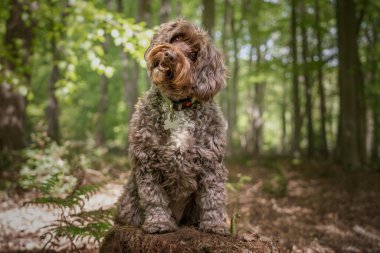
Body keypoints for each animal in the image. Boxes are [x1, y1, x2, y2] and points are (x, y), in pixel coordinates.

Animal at [115, 18, 229, 234]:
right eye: (176, 38)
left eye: (194, 54)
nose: (169, 55)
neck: (177, 107)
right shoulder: (147, 162)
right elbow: (154, 198)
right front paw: (159, 223)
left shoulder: (210, 164)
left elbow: (213, 197)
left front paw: (215, 224)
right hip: (130, 200)